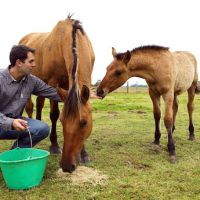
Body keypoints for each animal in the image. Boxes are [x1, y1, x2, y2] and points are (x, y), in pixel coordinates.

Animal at [19, 15, 95, 172]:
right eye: (62, 121)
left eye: (84, 123)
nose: (67, 166)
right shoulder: (53, 83)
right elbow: (53, 114)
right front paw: (54, 146)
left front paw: (84, 154)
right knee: (30, 107)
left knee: (39, 104)